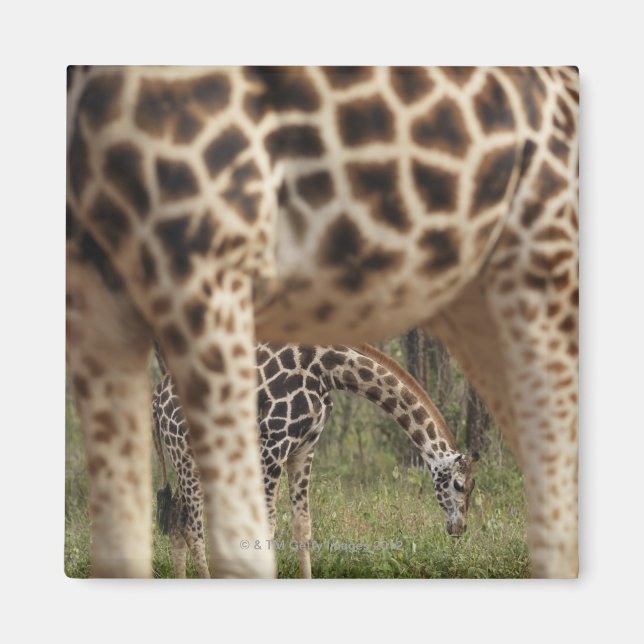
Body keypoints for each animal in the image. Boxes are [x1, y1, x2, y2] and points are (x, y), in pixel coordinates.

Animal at [152, 342, 477, 578]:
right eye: (459, 485)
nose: (460, 528)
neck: (327, 370)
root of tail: (157, 398)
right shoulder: (273, 444)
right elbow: (268, 523)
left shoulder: (303, 449)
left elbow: (302, 524)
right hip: (186, 454)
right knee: (192, 527)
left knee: (177, 520)